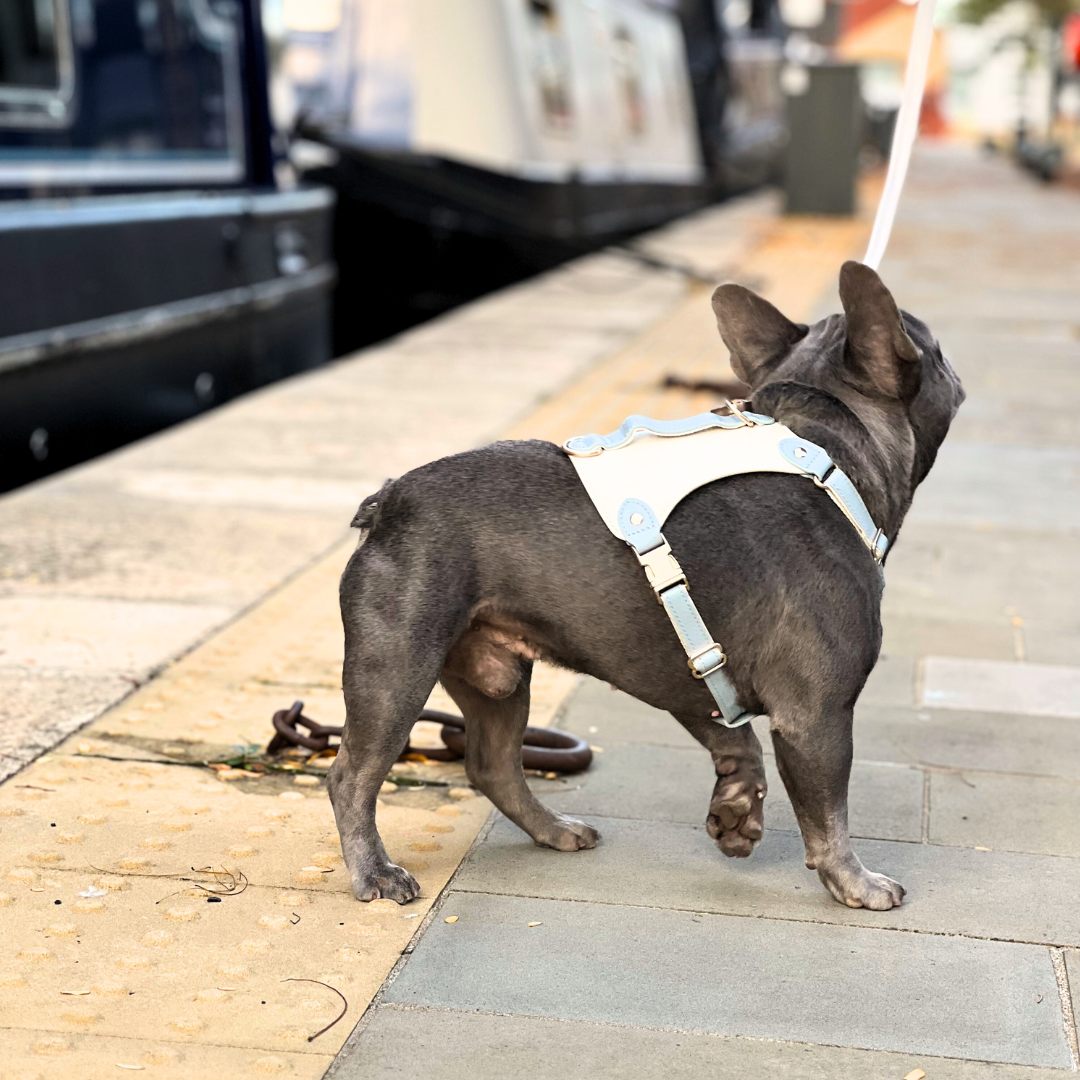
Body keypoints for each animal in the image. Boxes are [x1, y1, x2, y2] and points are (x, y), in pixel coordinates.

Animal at [326, 261, 963, 911]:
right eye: (935, 349)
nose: (953, 367)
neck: (821, 450)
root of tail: (387, 502)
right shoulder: (817, 715)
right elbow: (829, 809)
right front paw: (854, 880)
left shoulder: (693, 671)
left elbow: (736, 741)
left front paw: (736, 812)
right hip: (398, 669)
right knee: (353, 774)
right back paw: (376, 872)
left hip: (494, 678)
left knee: (493, 764)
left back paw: (554, 830)